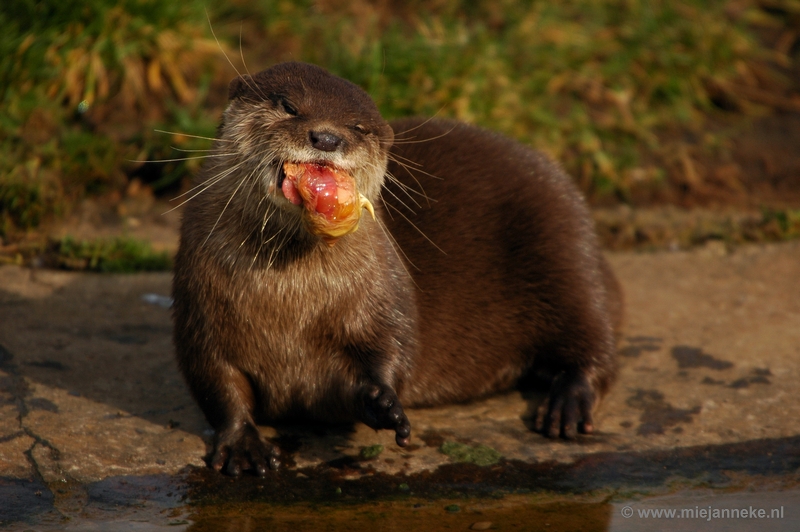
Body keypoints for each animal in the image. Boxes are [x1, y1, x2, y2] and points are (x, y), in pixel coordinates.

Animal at [173, 60, 624, 476]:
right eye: (288, 106)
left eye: (357, 126)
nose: (327, 137)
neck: (290, 305)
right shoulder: (200, 310)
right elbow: (216, 382)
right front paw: (242, 444)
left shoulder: (382, 290)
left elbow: (390, 351)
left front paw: (384, 402)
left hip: (566, 250)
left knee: (597, 342)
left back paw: (568, 404)